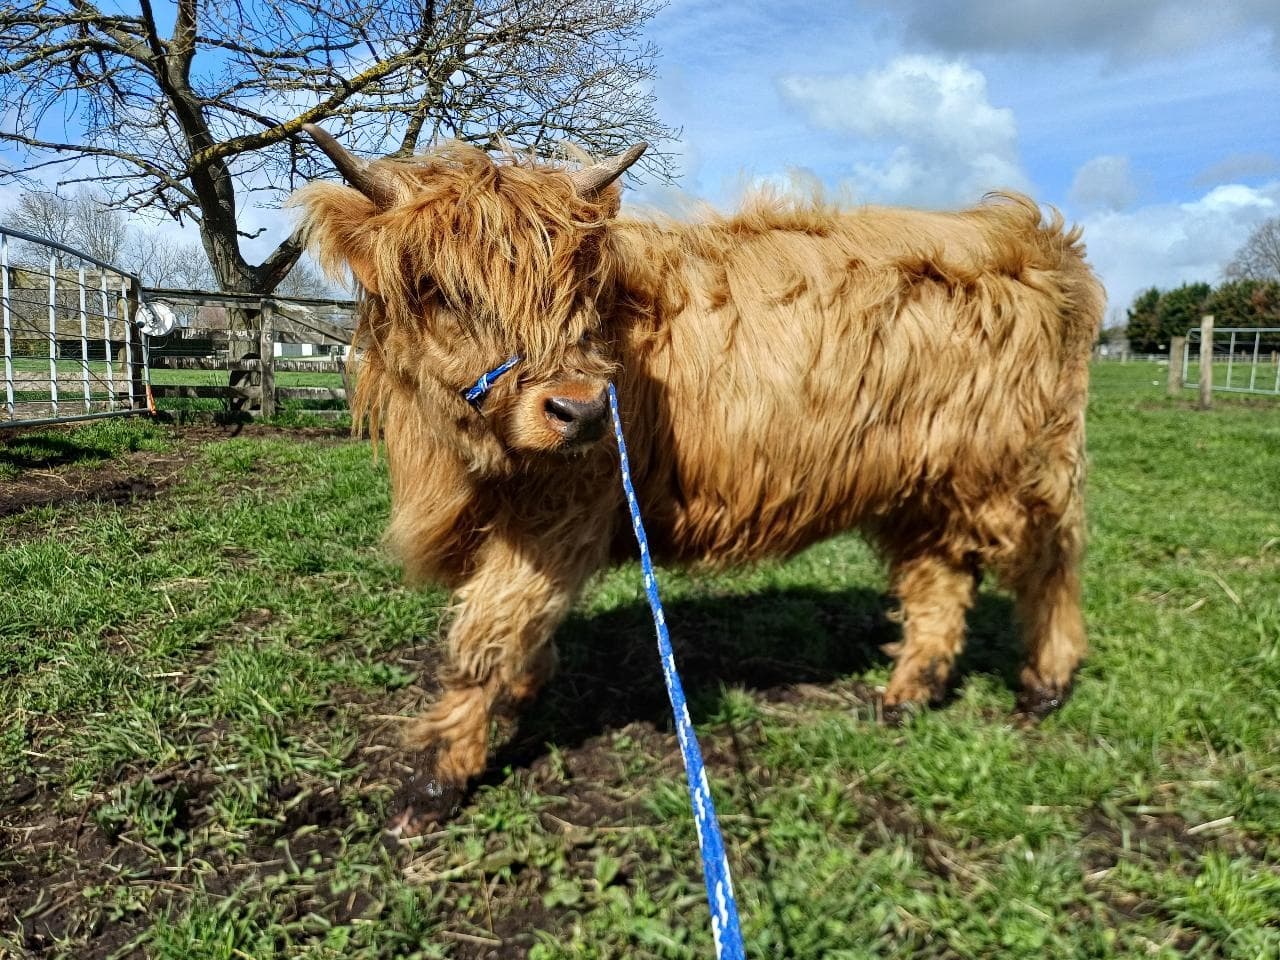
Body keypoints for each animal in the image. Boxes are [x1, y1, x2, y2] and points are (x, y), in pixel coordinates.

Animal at [292, 125, 1105, 828]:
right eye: (436, 288)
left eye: (576, 287)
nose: (581, 411)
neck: (457, 463)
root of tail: (1031, 239)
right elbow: (522, 629)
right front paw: (519, 695)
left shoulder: (561, 512)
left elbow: (485, 635)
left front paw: (434, 780)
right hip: (922, 481)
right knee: (940, 578)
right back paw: (906, 694)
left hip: (1009, 466)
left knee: (1048, 560)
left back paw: (1045, 684)